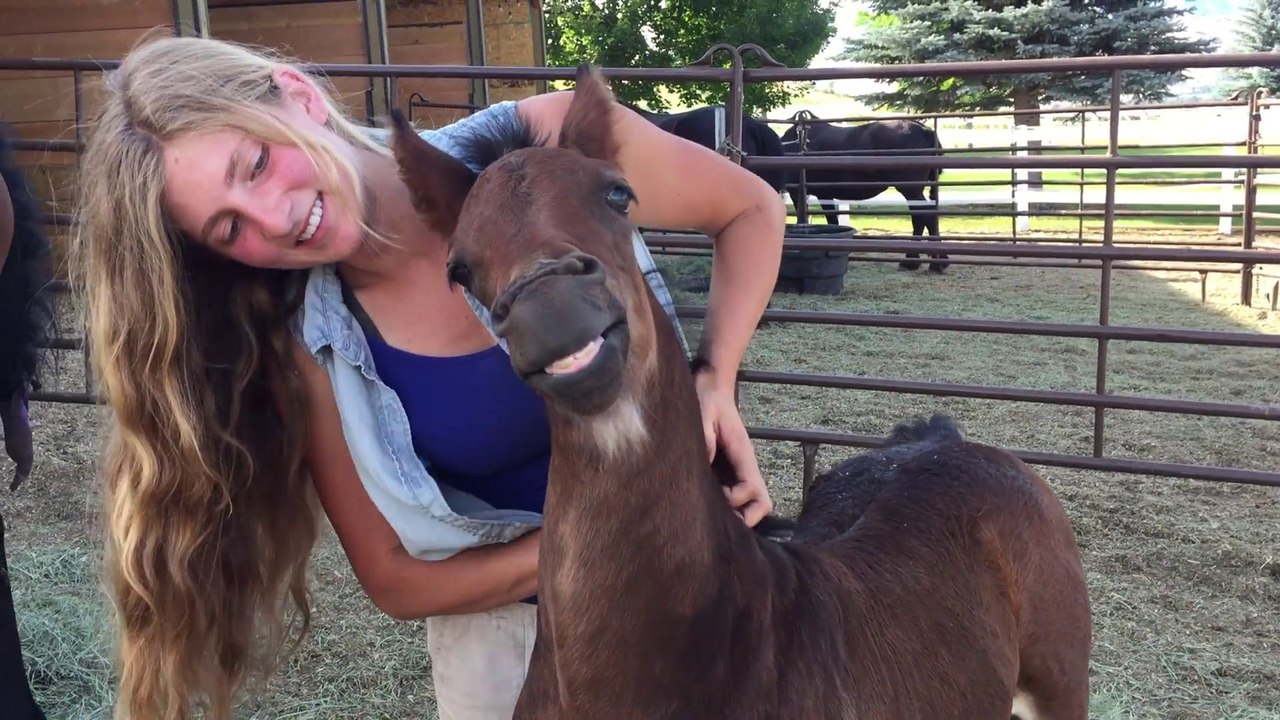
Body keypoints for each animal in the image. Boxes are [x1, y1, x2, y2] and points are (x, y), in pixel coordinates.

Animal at [781, 111, 949, 273]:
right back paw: (917, 262)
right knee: (921, 218)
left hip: (910, 190)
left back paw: (930, 263)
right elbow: (833, 221)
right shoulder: (824, 194)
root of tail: (925, 130)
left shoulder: (797, 193)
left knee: (925, 216)